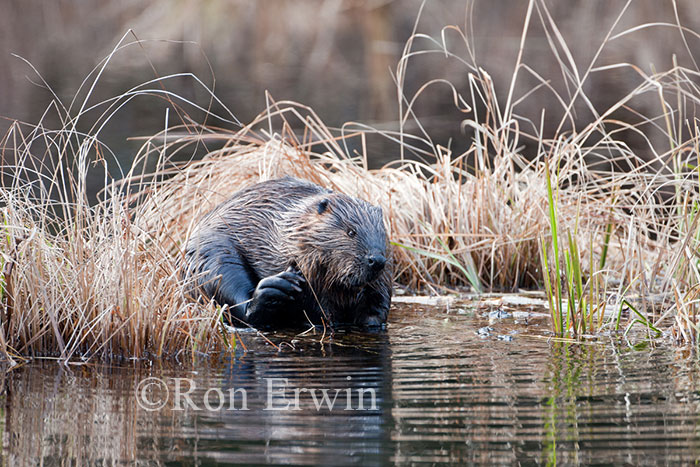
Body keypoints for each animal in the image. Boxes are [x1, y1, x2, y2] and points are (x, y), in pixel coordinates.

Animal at [185, 176, 394, 330]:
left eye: (382, 233)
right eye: (351, 232)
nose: (376, 260)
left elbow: (378, 301)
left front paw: (371, 323)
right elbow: (314, 305)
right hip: (212, 254)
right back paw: (275, 288)